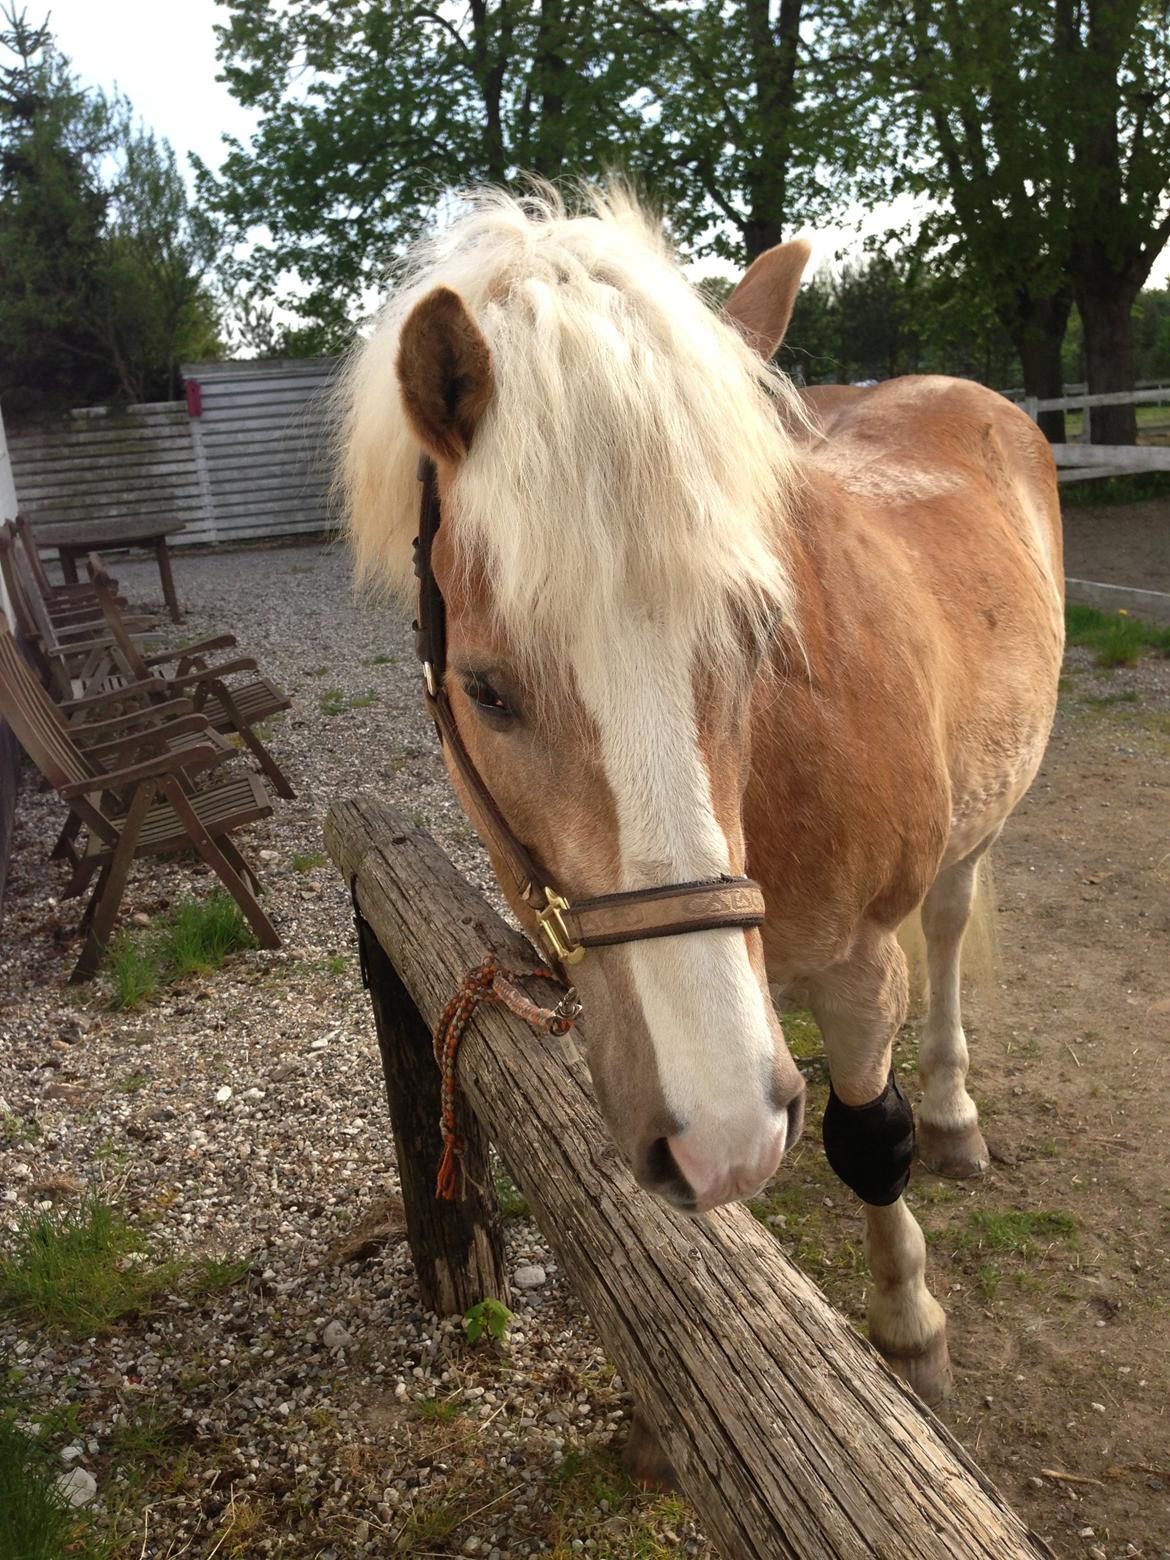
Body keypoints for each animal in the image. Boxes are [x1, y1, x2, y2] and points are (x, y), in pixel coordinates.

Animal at [336, 188, 1060, 1410]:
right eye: (485, 689)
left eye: (763, 635)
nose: (725, 1131)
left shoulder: (864, 963)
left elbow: (871, 1140)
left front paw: (908, 1327)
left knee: (953, 924)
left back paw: (954, 1110)